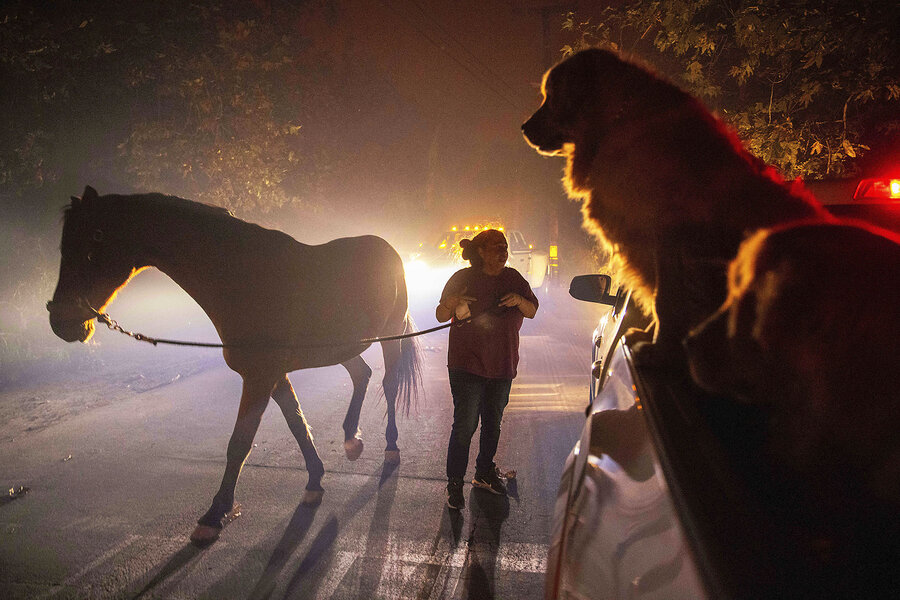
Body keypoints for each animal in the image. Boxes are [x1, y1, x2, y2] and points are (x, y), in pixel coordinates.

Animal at [44, 185, 418, 548]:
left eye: (93, 241)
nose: (61, 323)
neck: (243, 281)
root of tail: (387, 248)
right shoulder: (273, 375)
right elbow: (297, 423)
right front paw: (314, 482)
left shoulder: (260, 378)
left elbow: (239, 443)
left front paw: (214, 515)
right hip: (343, 346)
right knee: (361, 374)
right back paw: (351, 440)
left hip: (391, 334)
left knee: (388, 384)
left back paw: (390, 447)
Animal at [524, 49, 832, 350]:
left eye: (551, 96)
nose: (524, 127)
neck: (615, 122)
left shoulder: (664, 233)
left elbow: (665, 297)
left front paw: (660, 341)